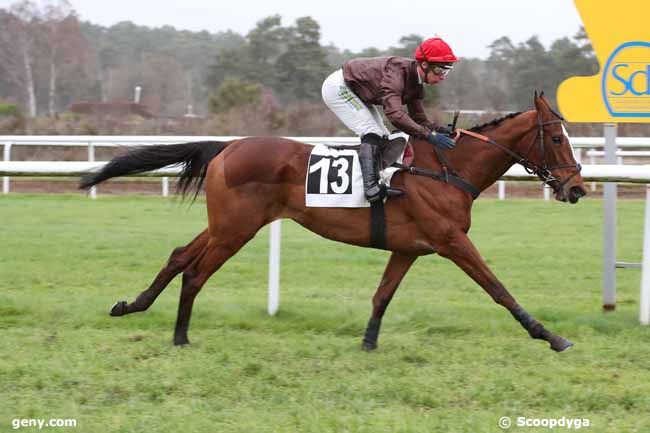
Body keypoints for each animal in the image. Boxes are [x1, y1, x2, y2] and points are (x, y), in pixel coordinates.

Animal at [78, 92, 584, 352]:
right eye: (559, 138)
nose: (577, 188)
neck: (447, 169)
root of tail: (227, 146)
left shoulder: (409, 248)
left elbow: (382, 295)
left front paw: (369, 342)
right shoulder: (450, 240)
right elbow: (498, 288)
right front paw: (550, 336)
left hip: (225, 224)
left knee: (180, 255)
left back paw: (132, 306)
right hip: (236, 229)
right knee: (196, 272)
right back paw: (180, 336)